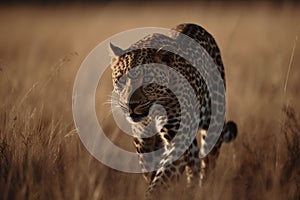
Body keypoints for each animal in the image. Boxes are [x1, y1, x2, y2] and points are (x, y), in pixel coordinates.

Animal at [109, 23, 238, 198]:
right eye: (121, 80)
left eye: (147, 80)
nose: (131, 104)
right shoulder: (144, 146)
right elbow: (154, 175)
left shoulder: (177, 141)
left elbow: (161, 181)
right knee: (194, 162)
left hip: (214, 123)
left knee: (207, 164)